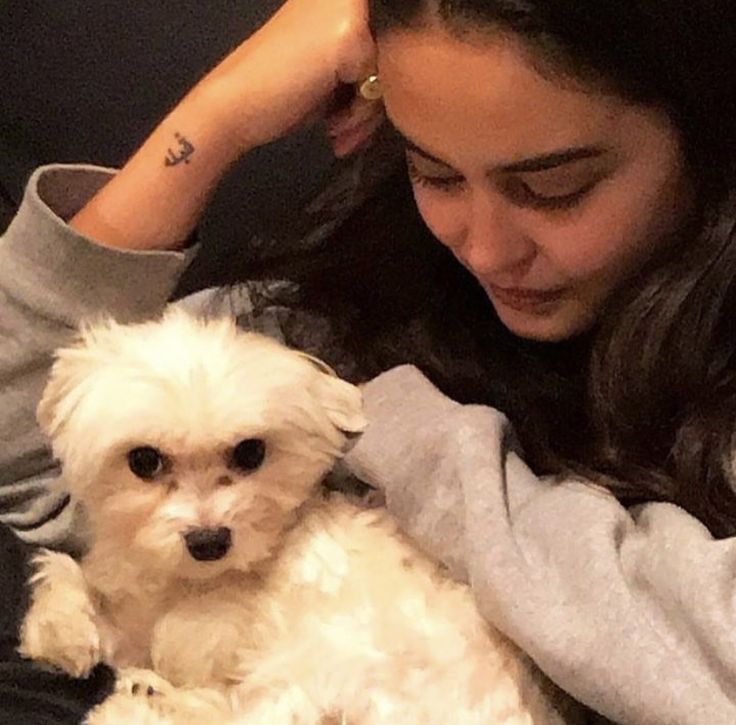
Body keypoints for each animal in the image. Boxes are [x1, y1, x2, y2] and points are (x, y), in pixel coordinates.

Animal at [18, 308, 576, 720]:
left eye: (250, 452)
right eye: (144, 461)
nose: (208, 541)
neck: (193, 582)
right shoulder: (134, 611)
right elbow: (70, 576)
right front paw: (61, 631)